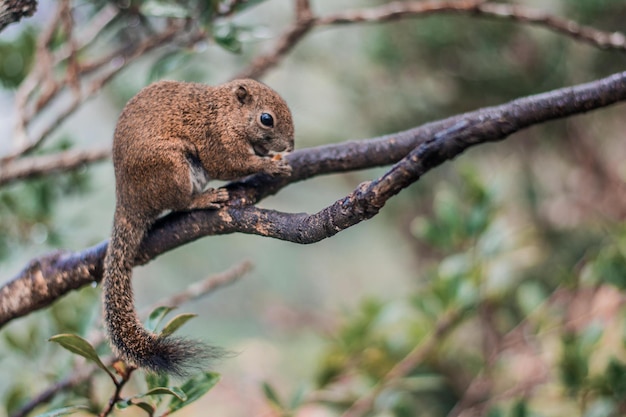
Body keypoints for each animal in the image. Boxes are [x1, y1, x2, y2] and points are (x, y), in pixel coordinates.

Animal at [102, 77, 294, 374]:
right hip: (171, 167)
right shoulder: (217, 141)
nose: (291, 144)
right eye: (266, 119)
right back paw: (204, 199)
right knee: (181, 203)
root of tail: (128, 202)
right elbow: (228, 164)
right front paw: (270, 166)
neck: (225, 113)